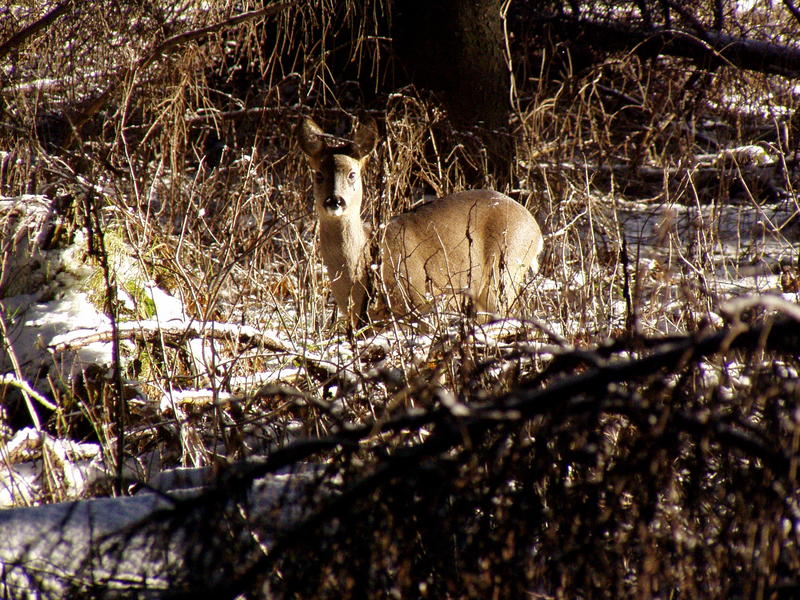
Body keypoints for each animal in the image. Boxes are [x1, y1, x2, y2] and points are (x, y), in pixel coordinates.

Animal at [296, 115, 548, 326]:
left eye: (352, 174)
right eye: (318, 174)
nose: (335, 200)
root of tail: (536, 229)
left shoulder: (418, 300)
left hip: (505, 267)